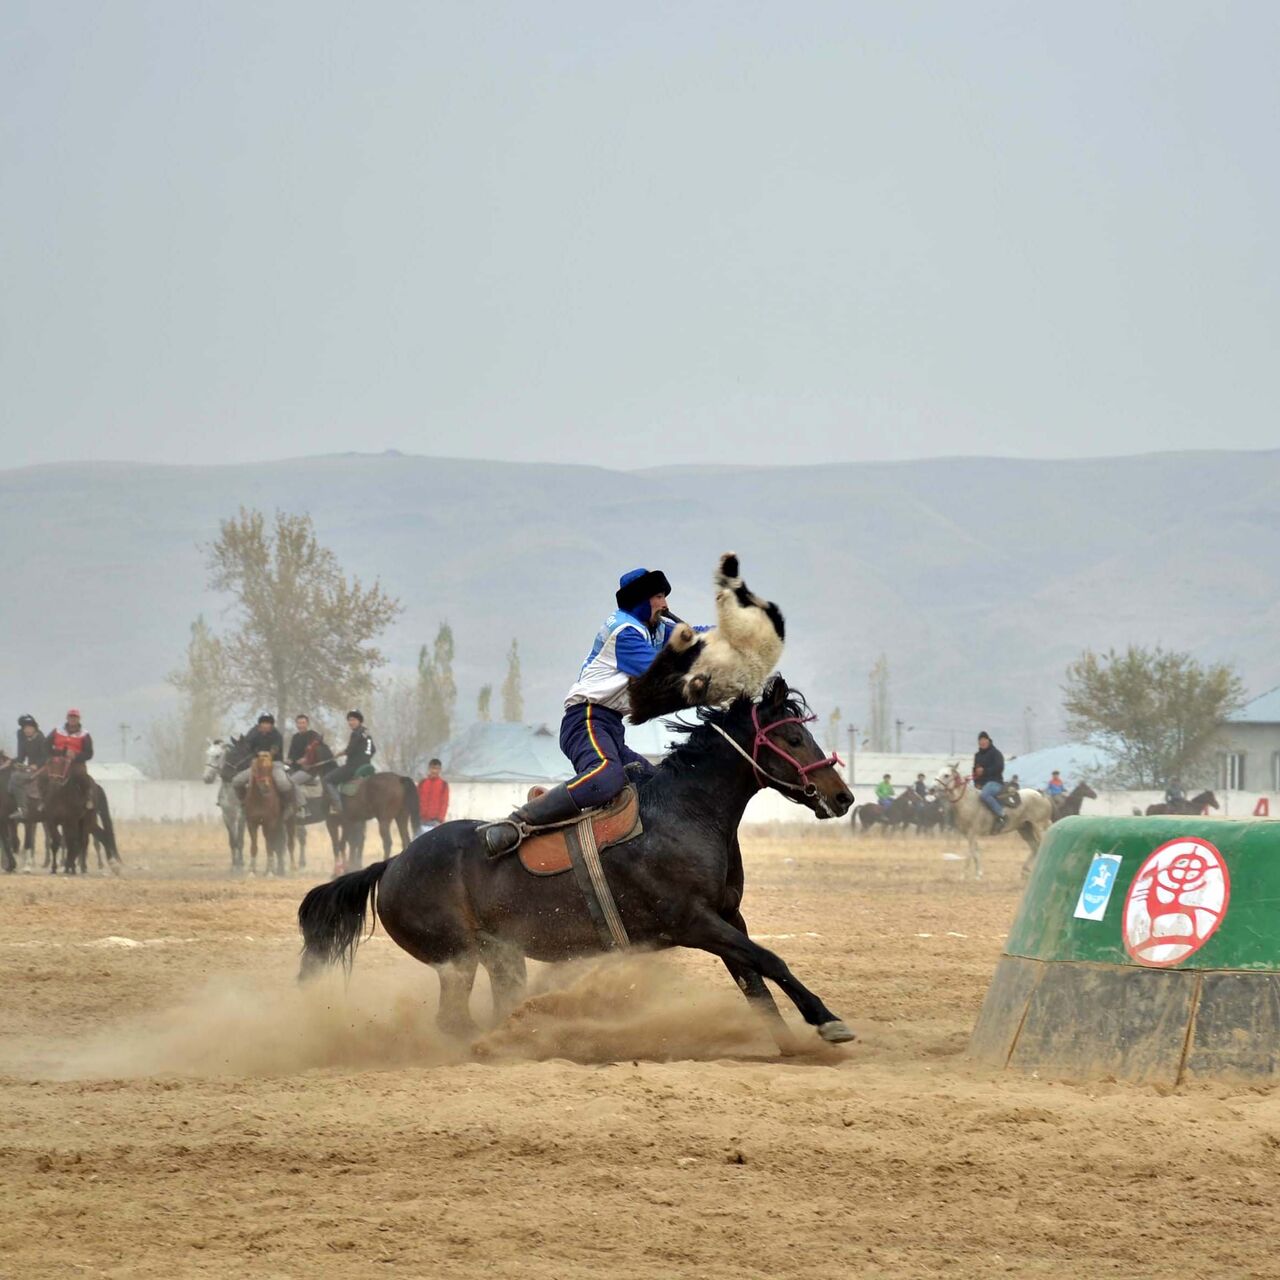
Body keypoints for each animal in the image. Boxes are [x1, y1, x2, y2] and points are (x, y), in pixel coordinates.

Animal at [299, 675, 860, 1054]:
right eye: (792, 738)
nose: (843, 796)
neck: (685, 813)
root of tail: (392, 863)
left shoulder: (727, 918)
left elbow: (754, 982)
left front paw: (788, 1043)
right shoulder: (695, 922)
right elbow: (769, 962)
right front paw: (826, 1020)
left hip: (500, 955)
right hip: (456, 958)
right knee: (454, 1021)